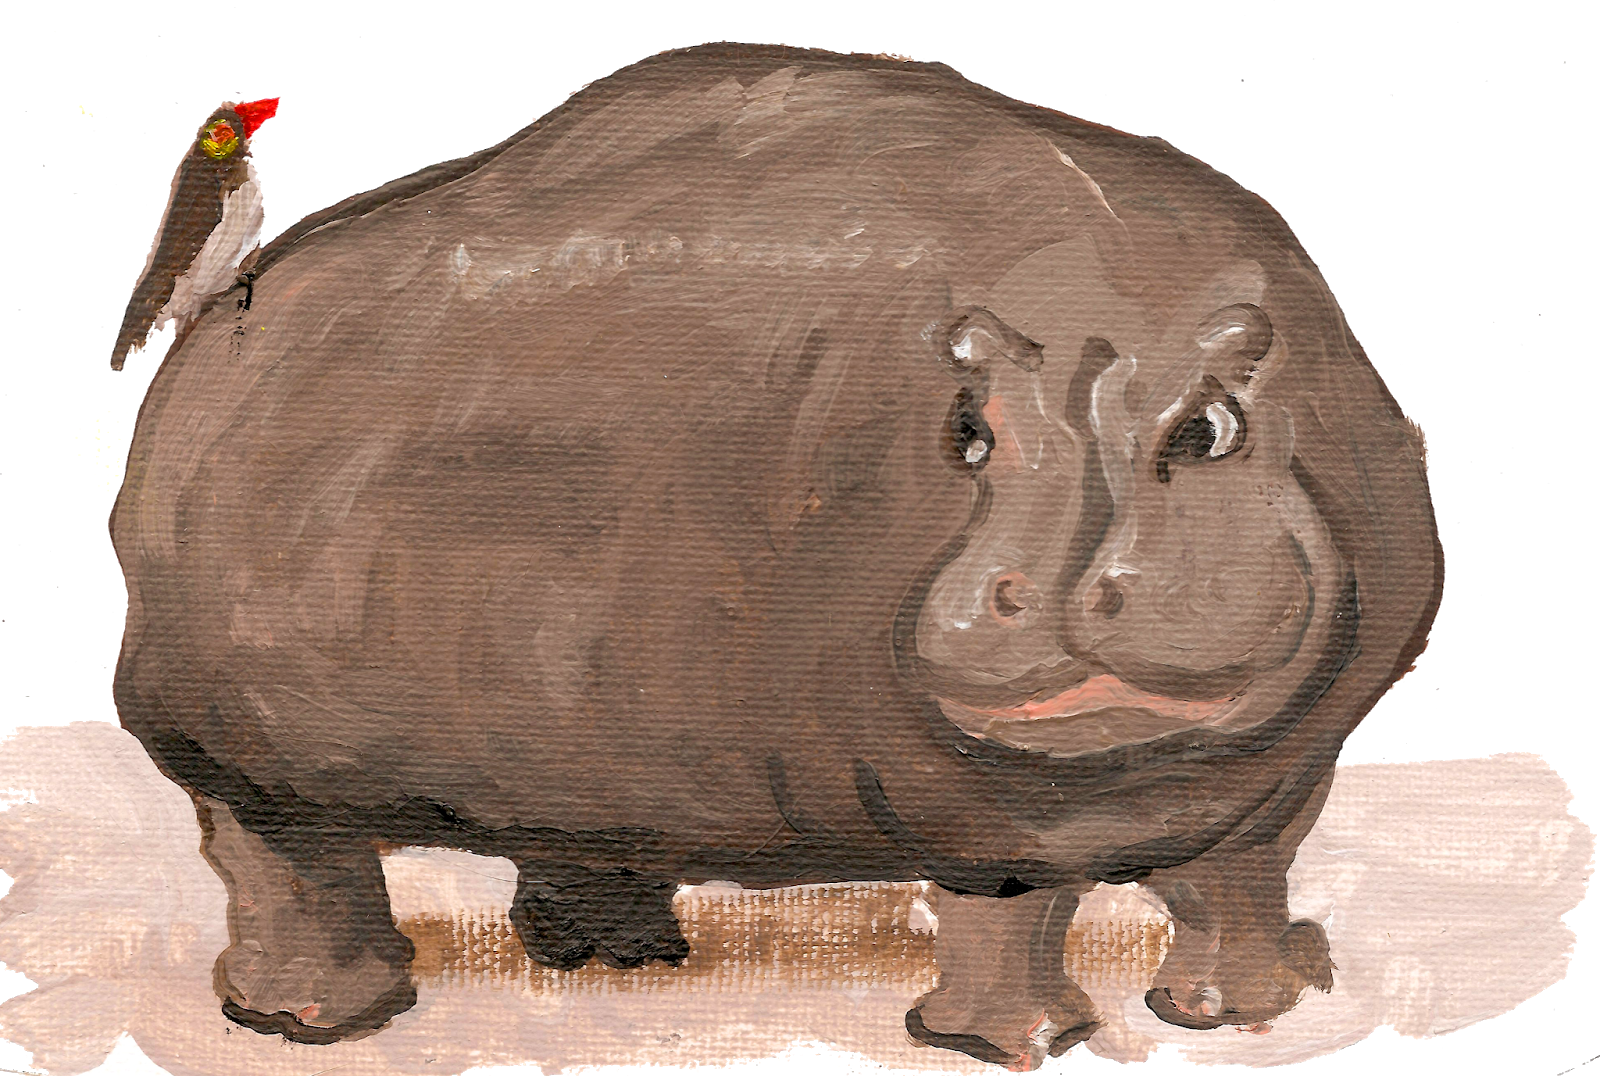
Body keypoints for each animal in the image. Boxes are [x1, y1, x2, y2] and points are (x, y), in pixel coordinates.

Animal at [109, 44, 1442, 1068]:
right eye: (968, 433)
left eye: (1209, 428)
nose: (1053, 589)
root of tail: (203, 344)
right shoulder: (977, 810)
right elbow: (1010, 921)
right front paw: (1013, 1045)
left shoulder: (1284, 773)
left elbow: (1242, 882)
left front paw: (1257, 1004)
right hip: (232, 748)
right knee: (285, 865)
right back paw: (314, 1017)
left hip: (582, 738)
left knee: (579, 840)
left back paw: (617, 959)